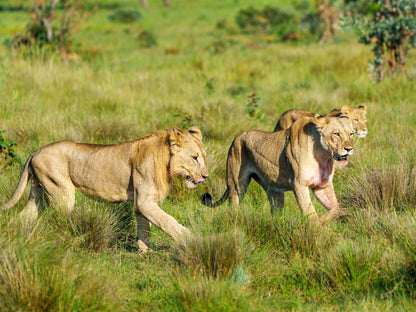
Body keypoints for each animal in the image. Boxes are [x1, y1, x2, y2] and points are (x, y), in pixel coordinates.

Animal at [0, 126, 208, 251]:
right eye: (195, 157)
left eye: (203, 157)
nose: (205, 176)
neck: (166, 162)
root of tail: (36, 151)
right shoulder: (144, 201)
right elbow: (167, 221)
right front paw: (189, 238)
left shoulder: (142, 202)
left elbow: (144, 227)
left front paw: (144, 251)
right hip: (61, 192)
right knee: (58, 219)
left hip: (38, 194)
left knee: (24, 217)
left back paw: (15, 236)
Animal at [202, 116, 354, 221]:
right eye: (336, 134)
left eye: (351, 134)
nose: (349, 149)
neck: (323, 155)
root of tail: (236, 137)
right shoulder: (298, 184)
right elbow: (310, 212)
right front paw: (317, 227)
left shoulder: (322, 186)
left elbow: (336, 208)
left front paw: (327, 219)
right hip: (236, 185)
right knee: (233, 205)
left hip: (274, 191)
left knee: (275, 212)